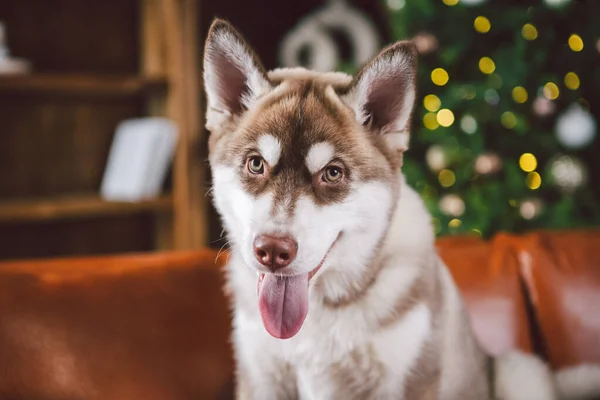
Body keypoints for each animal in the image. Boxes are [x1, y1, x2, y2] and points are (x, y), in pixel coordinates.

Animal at [204, 18, 600, 400]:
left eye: (333, 173)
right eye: (256, 164)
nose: (272, 250)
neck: (321, 309)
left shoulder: (413, 381)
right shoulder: (260, 379)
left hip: (521, 369)